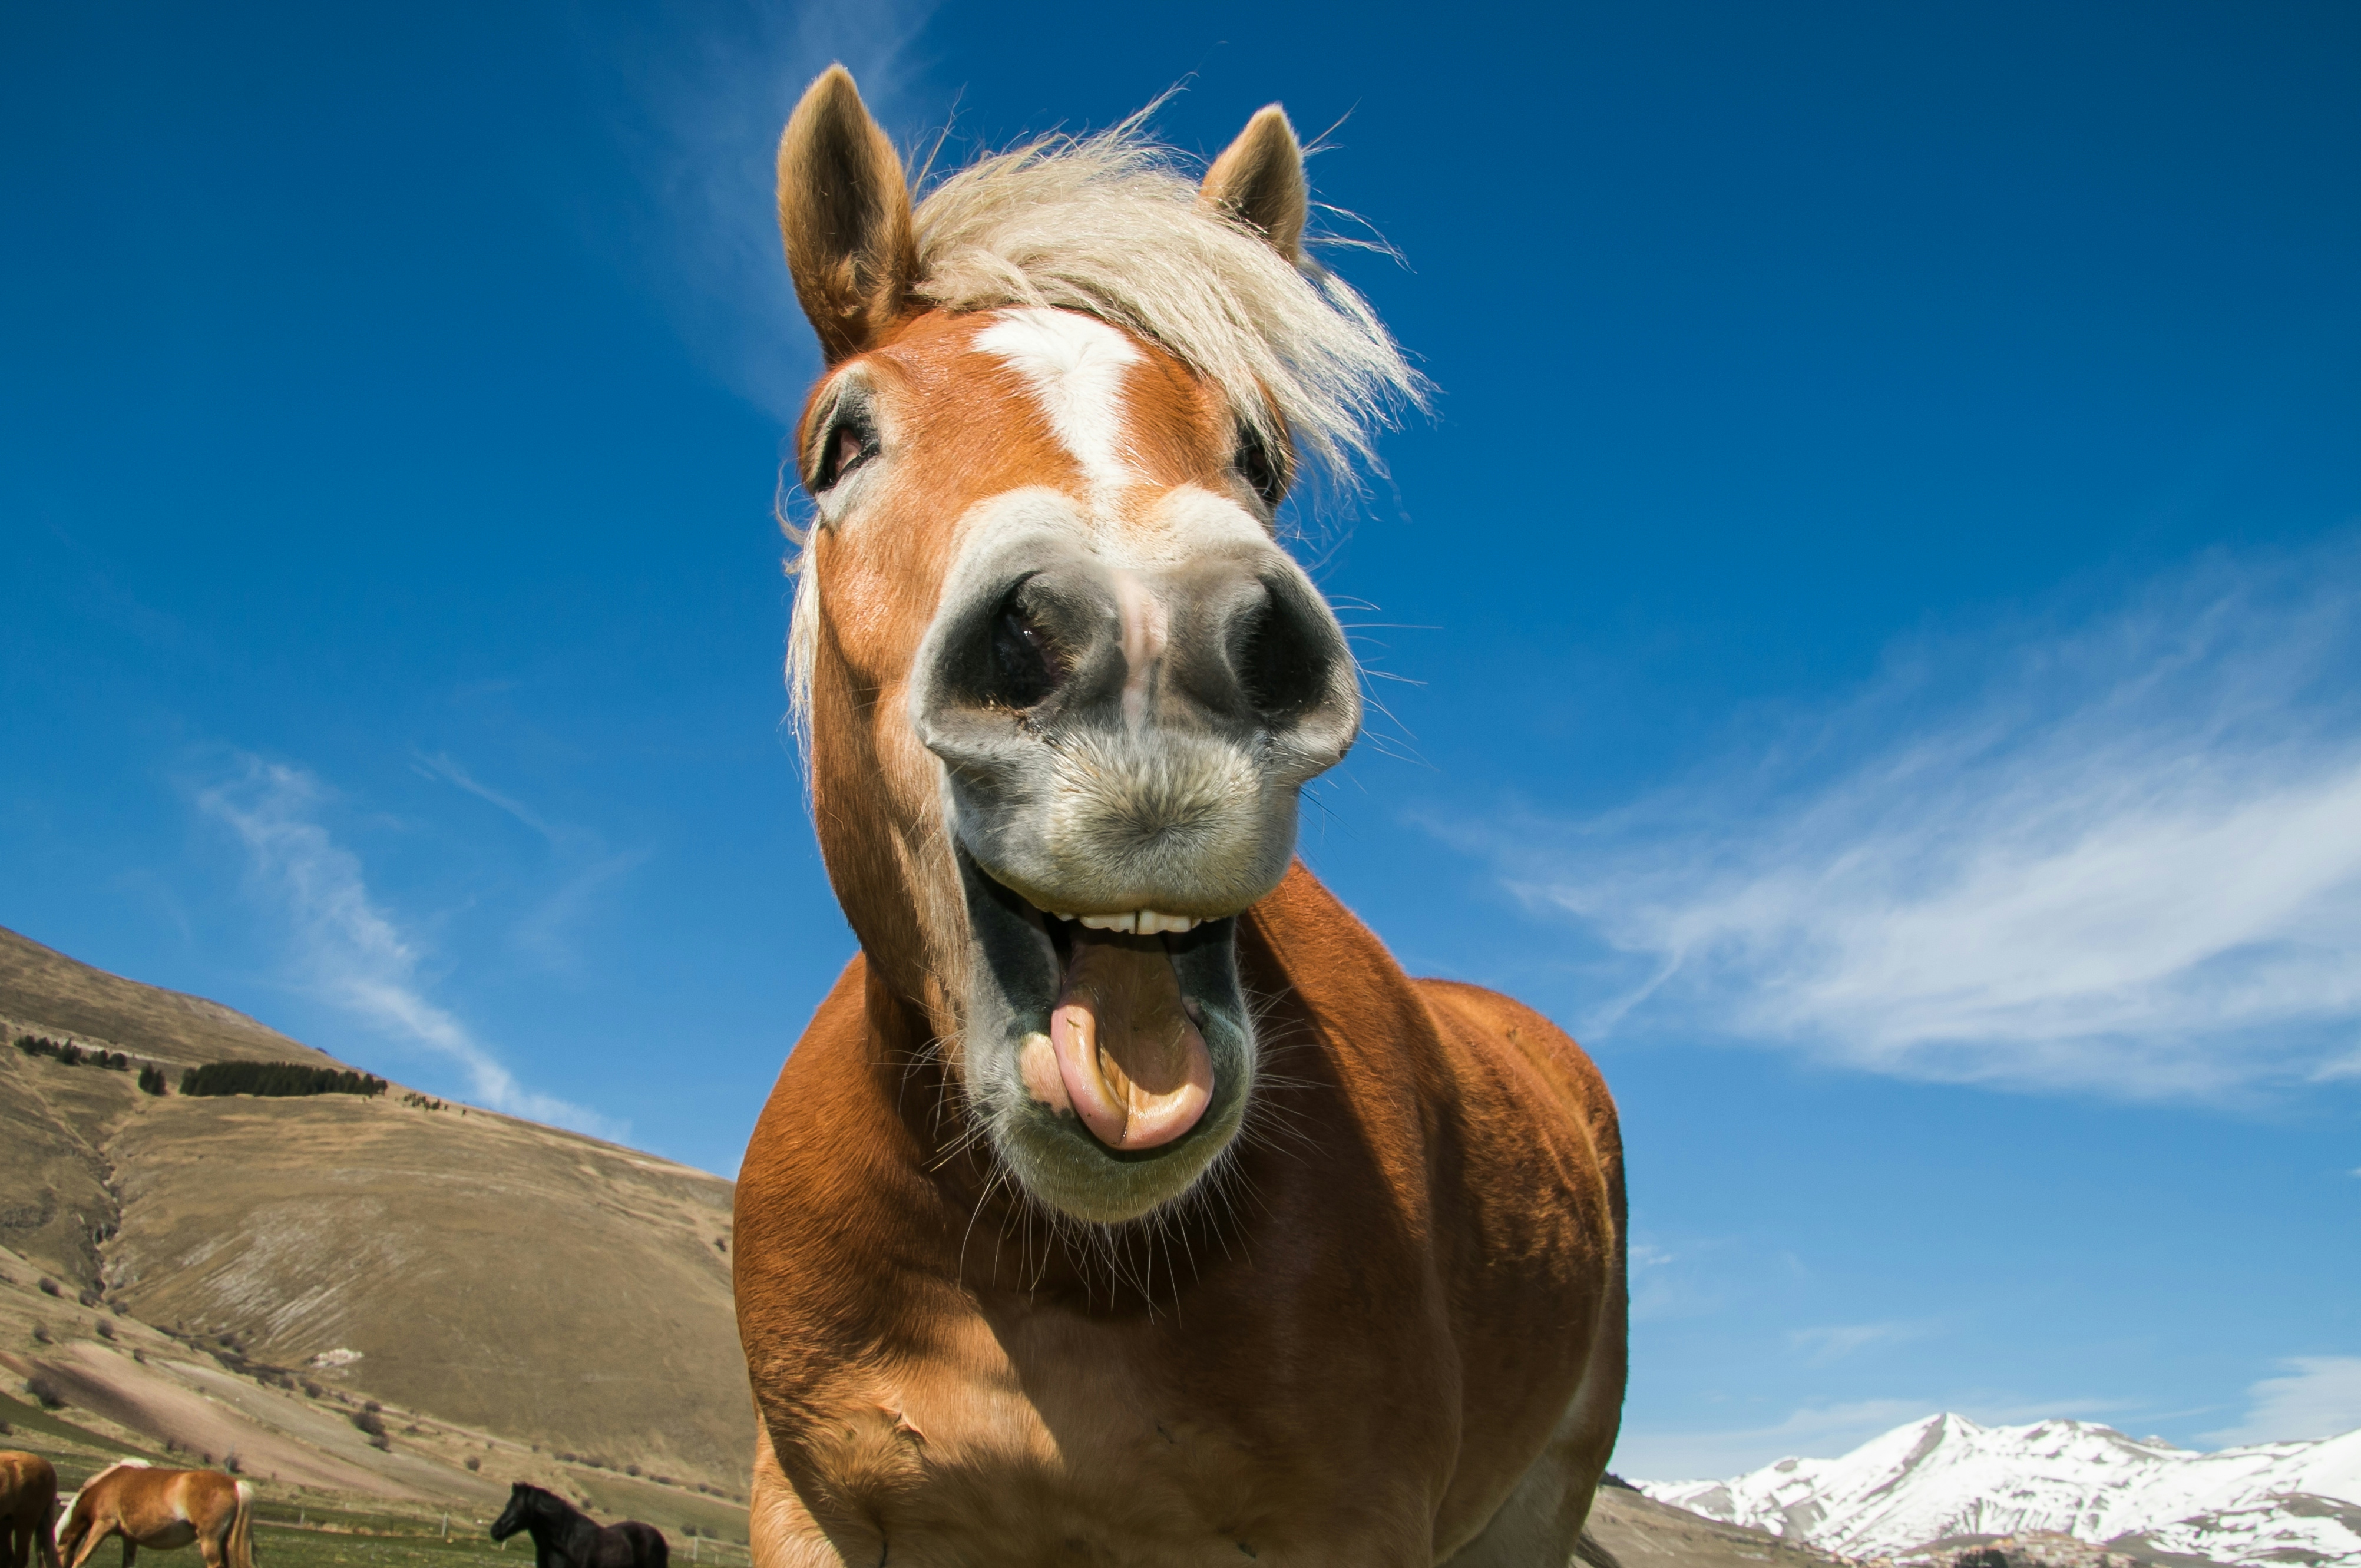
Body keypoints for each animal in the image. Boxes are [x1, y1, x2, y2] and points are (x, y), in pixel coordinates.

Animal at [55, 1463, 251, 1568]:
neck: (105, 1486)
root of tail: (234, 1484)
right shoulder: (130, 1539)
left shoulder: (103, 1526)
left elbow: (81, 1560)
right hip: (223, 1543)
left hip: (209, 1542)